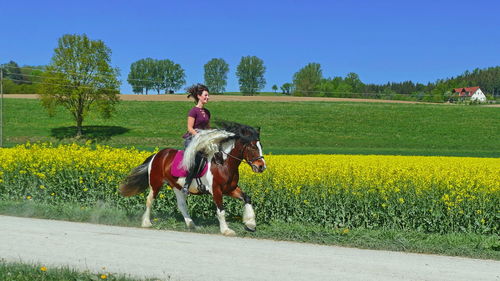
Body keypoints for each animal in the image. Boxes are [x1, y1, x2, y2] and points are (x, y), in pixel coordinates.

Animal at [118, 122, 266, 234]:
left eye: (260, 146)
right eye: (252, 147)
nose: (261, 167)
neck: (224, 164)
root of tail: (158, 154)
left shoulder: (230, 189)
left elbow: (247, 198)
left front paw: (250, 224)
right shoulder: (216, 190)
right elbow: (221, 211)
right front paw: (226, 230)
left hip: (177, 186)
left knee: (181, 205)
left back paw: (191, 225)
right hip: (156, 183)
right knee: (150, 200)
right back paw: (146, 223)